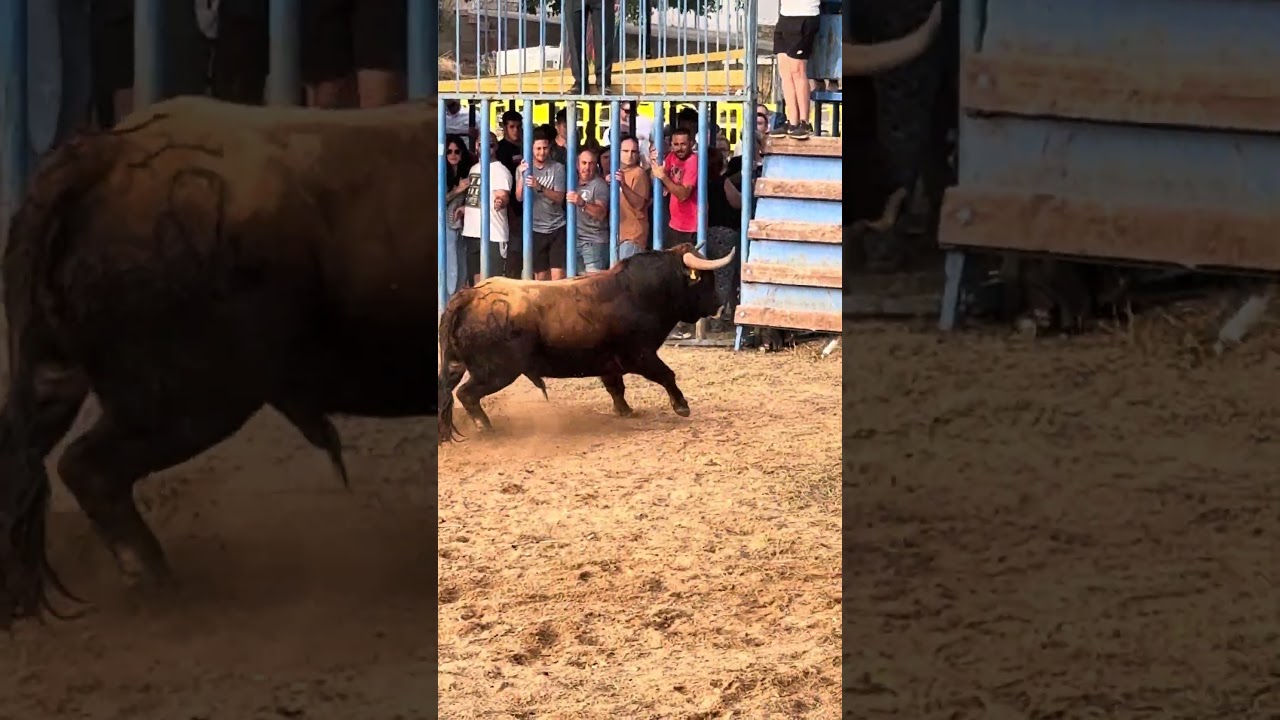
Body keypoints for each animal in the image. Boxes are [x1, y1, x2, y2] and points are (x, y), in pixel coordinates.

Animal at [437, 244, 734, 443]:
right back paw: (485, 427)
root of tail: (470, 295)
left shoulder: (609, 362)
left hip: (457, 366)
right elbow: (666, 374)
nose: (719, 305)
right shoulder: (640, 355)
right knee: (466, 394)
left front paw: (625, 411)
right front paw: (681, 406)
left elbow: (616, 387)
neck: (639, 292)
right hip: (497, 372)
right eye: (705, 280)